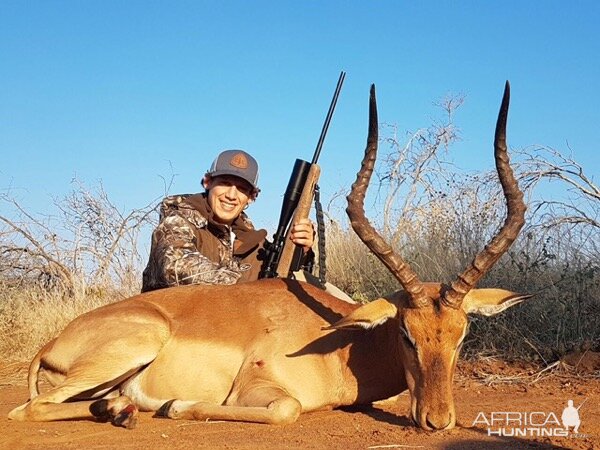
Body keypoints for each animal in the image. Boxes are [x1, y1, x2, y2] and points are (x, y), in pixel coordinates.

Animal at [8, 82, 528, 430]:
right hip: (135, 345)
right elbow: (286, 410)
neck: (341, 348)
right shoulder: (263, 390)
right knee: (28, 408)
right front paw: (175, 405)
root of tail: (52, 343)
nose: (438, 421)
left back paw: (119, 409)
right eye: (406, 333)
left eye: (461, 336)